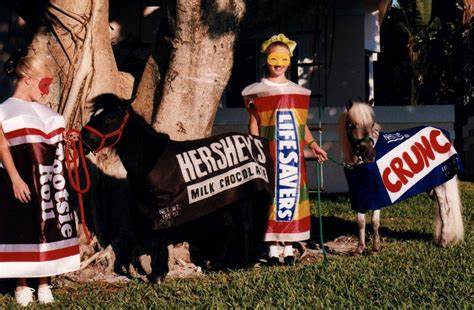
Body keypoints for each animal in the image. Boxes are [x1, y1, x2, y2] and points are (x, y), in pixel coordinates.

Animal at [338, 101, 464, 254]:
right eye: (350, 124)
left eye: (372, 123)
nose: (370, 155)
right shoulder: (359, 197)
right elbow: (361, 222)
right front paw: (360, 249)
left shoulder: (377, 197)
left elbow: (374, 221)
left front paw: (375, 248)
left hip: (439, 185)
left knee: (444, 211)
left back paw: (443, 242)